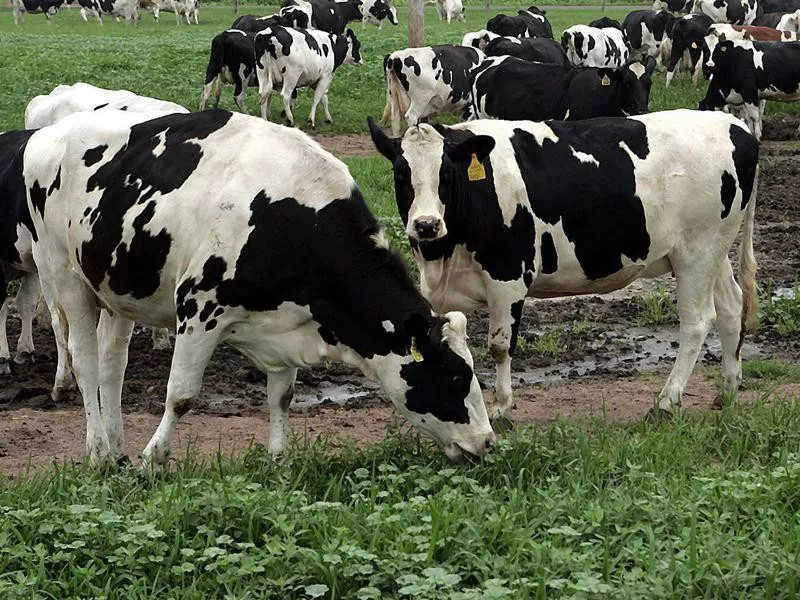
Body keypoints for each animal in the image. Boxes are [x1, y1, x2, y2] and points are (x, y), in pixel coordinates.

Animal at [12, 108, 496, 464]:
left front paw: (278, 459)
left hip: (119, 290)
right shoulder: (198, 308)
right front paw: (154, 458)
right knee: (86, 363)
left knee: (112, 367)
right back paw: (97, 451)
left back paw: (116, 451)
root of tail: (47, 134)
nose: (488, 441)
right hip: (66, 277)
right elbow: (181, 395)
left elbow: (281, 397)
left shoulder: (286, 323)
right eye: (456, 374)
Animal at [368, 110, 756, 424]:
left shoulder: (509, 277)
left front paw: (502, 408)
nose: (426, 224)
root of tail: (734, 125)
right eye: (400, 173)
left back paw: (666, 401)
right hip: (713, 251)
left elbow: (500, 345)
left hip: (696, 252)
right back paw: (727, 389)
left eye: (447, 173)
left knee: (696, 322)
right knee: (731, 307)